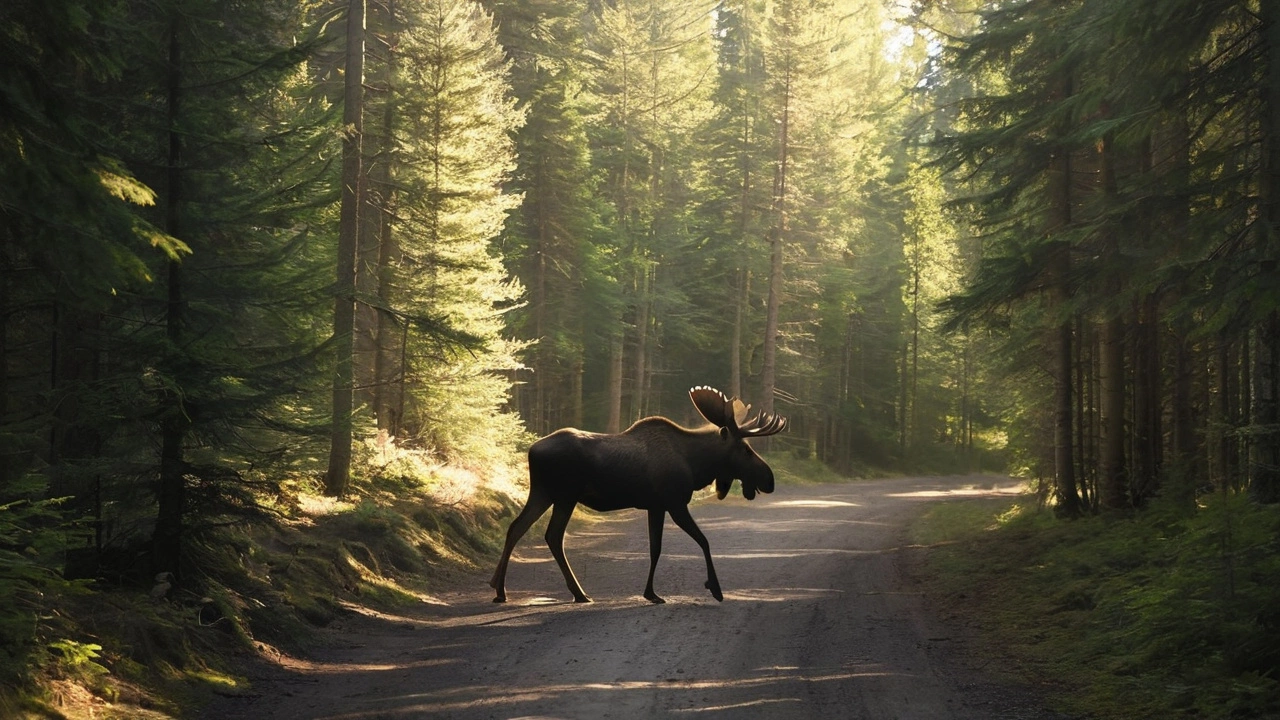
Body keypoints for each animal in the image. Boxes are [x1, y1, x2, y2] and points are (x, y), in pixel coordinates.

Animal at [491, 384, 783, 602]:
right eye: (745, 450)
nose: (769, 479)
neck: (695, 464)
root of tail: (531, 451)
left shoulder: (656, 506)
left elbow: (656, 548)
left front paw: (651, 593)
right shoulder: (675, 503)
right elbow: (703, 541)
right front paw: (715, 587)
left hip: (543, 493)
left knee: (516, 527)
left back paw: (500, 588)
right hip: (565, 496)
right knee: (552, 536)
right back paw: (577, 592)